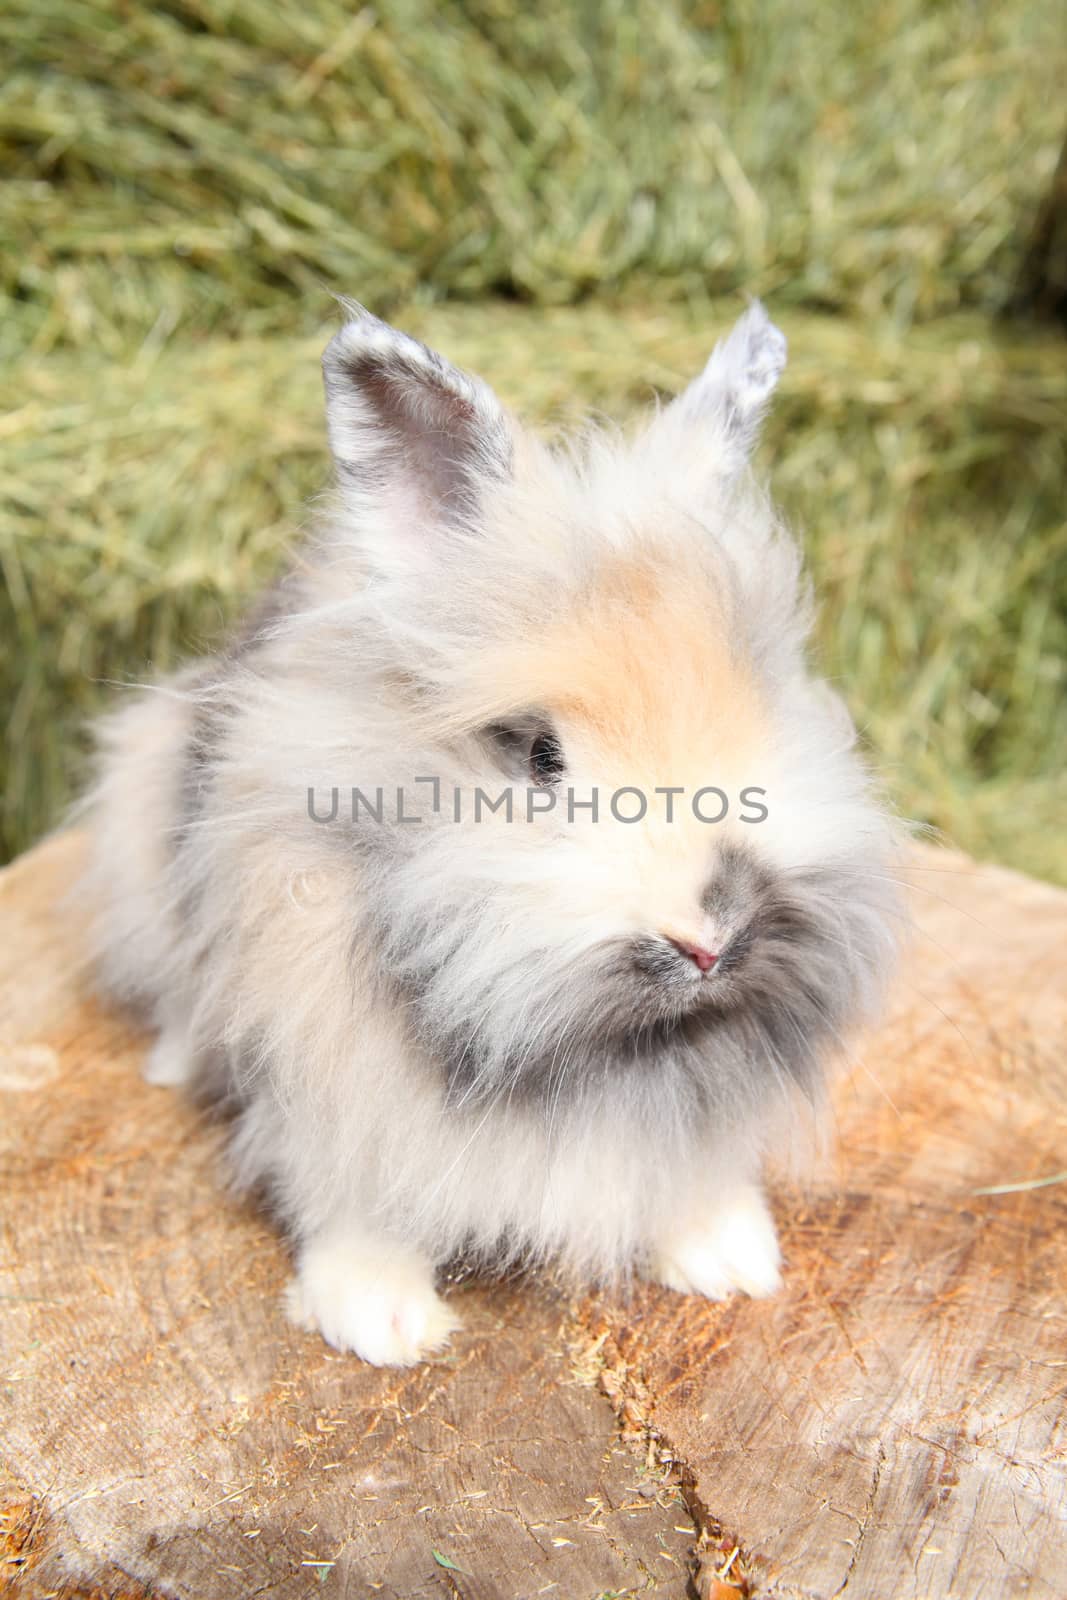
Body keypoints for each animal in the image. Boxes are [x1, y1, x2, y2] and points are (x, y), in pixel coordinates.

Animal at [79, 305, 908, 1369]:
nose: (711, 935)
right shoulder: (328, 1068)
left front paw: (729, 1258)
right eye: (539, 756)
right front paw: (380, 1321)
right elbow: (352, 1192)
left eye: (766, 706)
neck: (594, 1054)